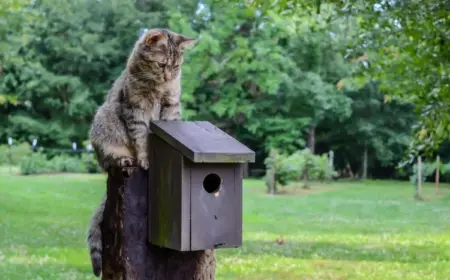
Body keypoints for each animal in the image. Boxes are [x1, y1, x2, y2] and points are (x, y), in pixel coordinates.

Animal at [85, 27, 196, 276]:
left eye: (176, 67)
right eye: (161, 65)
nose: (168, 76)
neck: (157, 87)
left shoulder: (171, 105)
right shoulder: (135, 109)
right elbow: (142, 138)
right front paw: (145, 158)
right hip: (104, 120)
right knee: (109, 160)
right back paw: (124, 159)